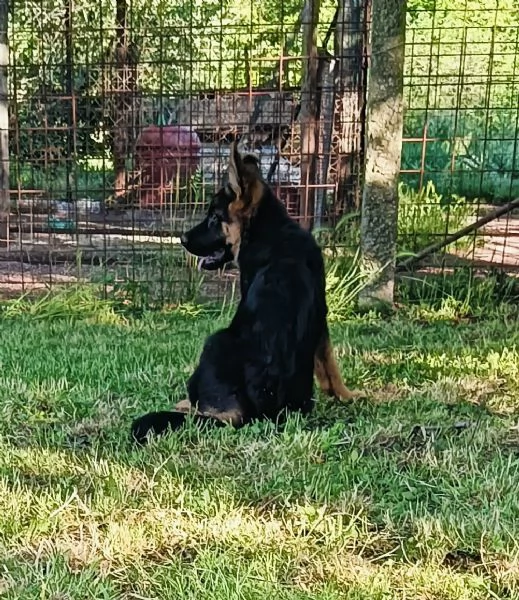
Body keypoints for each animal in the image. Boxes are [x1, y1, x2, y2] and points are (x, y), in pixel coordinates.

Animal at [130, 143, 362, 442]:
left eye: (214, 218)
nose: (182, 239)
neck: (268, 229)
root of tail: (249, 414)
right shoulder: (321, 314)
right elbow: (329, 361)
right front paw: (345, 395)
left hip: (214, 341)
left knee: (205, 410)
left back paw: (185, 404)